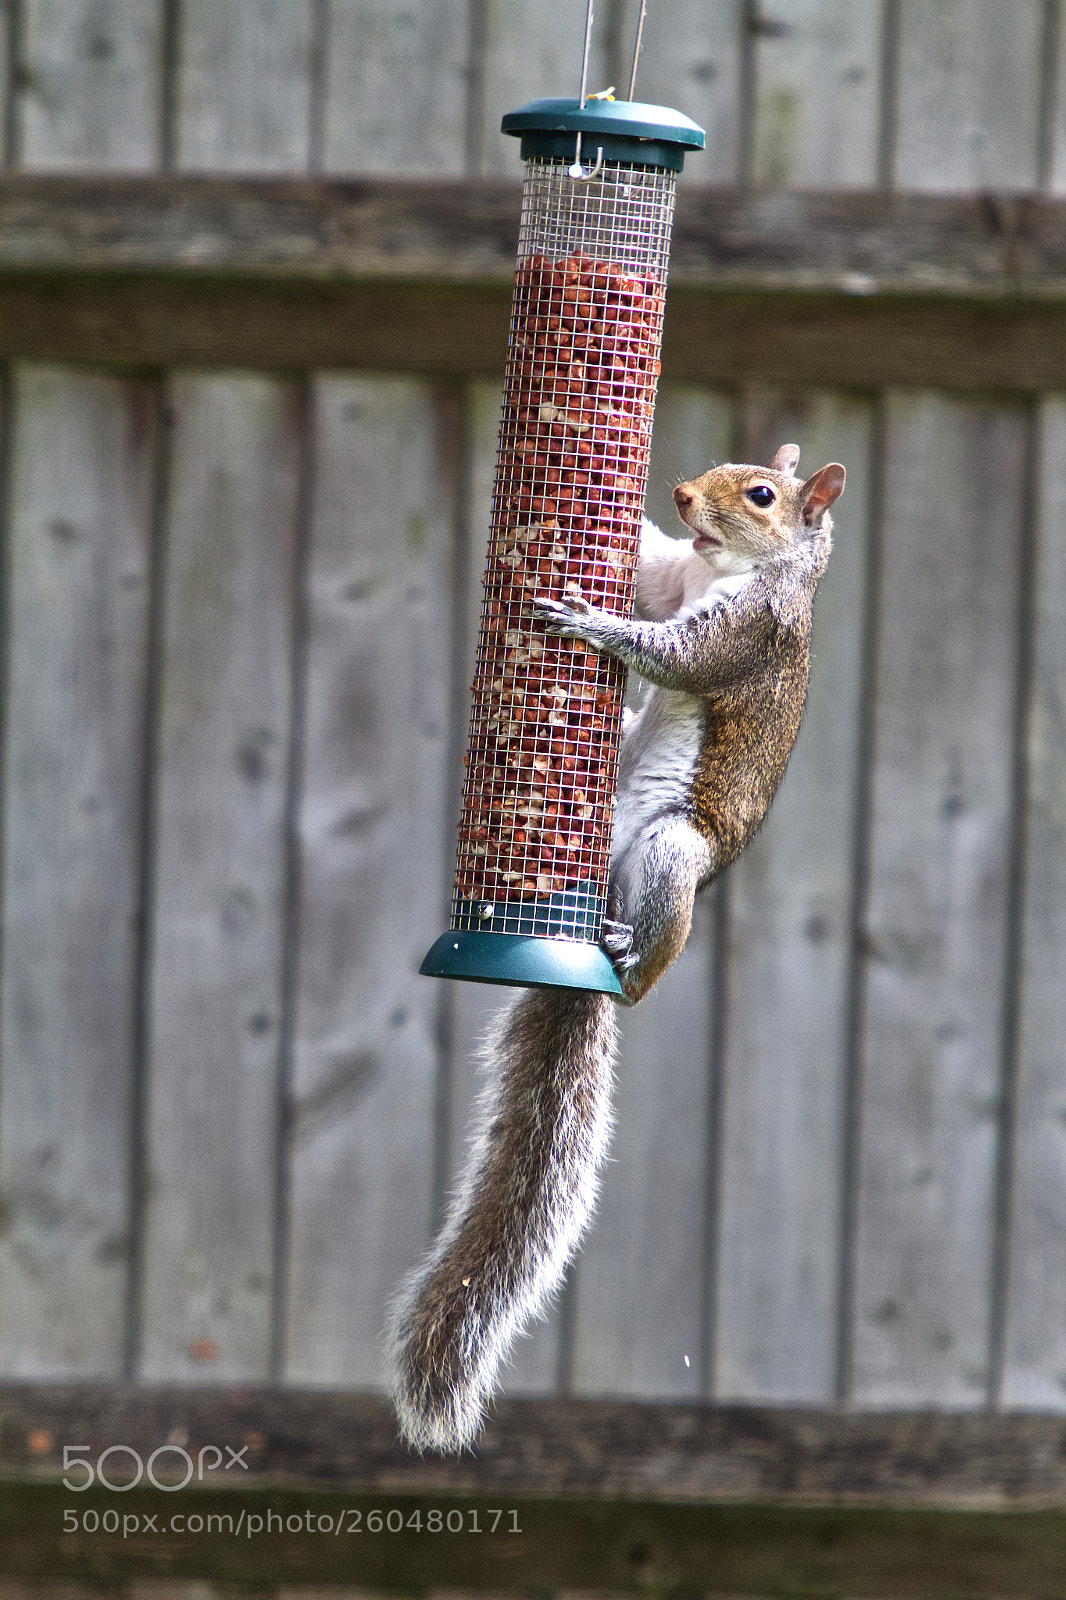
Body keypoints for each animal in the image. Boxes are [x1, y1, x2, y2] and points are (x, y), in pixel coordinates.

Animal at [387, 444, 845, 1452]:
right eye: (722, 469)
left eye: (762, 494)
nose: (679, 493)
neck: (730, 569)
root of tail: (591, 938)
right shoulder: (678, 581)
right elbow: (652, 578)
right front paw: (620, 515)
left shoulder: (750, 634)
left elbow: (677, 652)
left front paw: (589, 619)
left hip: (675, 854)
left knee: (654, 961)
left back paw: (633, 956)